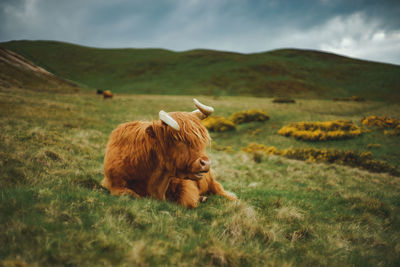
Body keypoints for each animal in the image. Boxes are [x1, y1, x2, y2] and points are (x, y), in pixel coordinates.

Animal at [101, 99, 238, 208]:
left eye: (201, 140)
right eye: (178, 139)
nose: (206, 163)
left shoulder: (186, 184)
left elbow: (187, 201)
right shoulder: (113, 184)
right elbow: (131, 194)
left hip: (210, 181)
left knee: (220, 189)